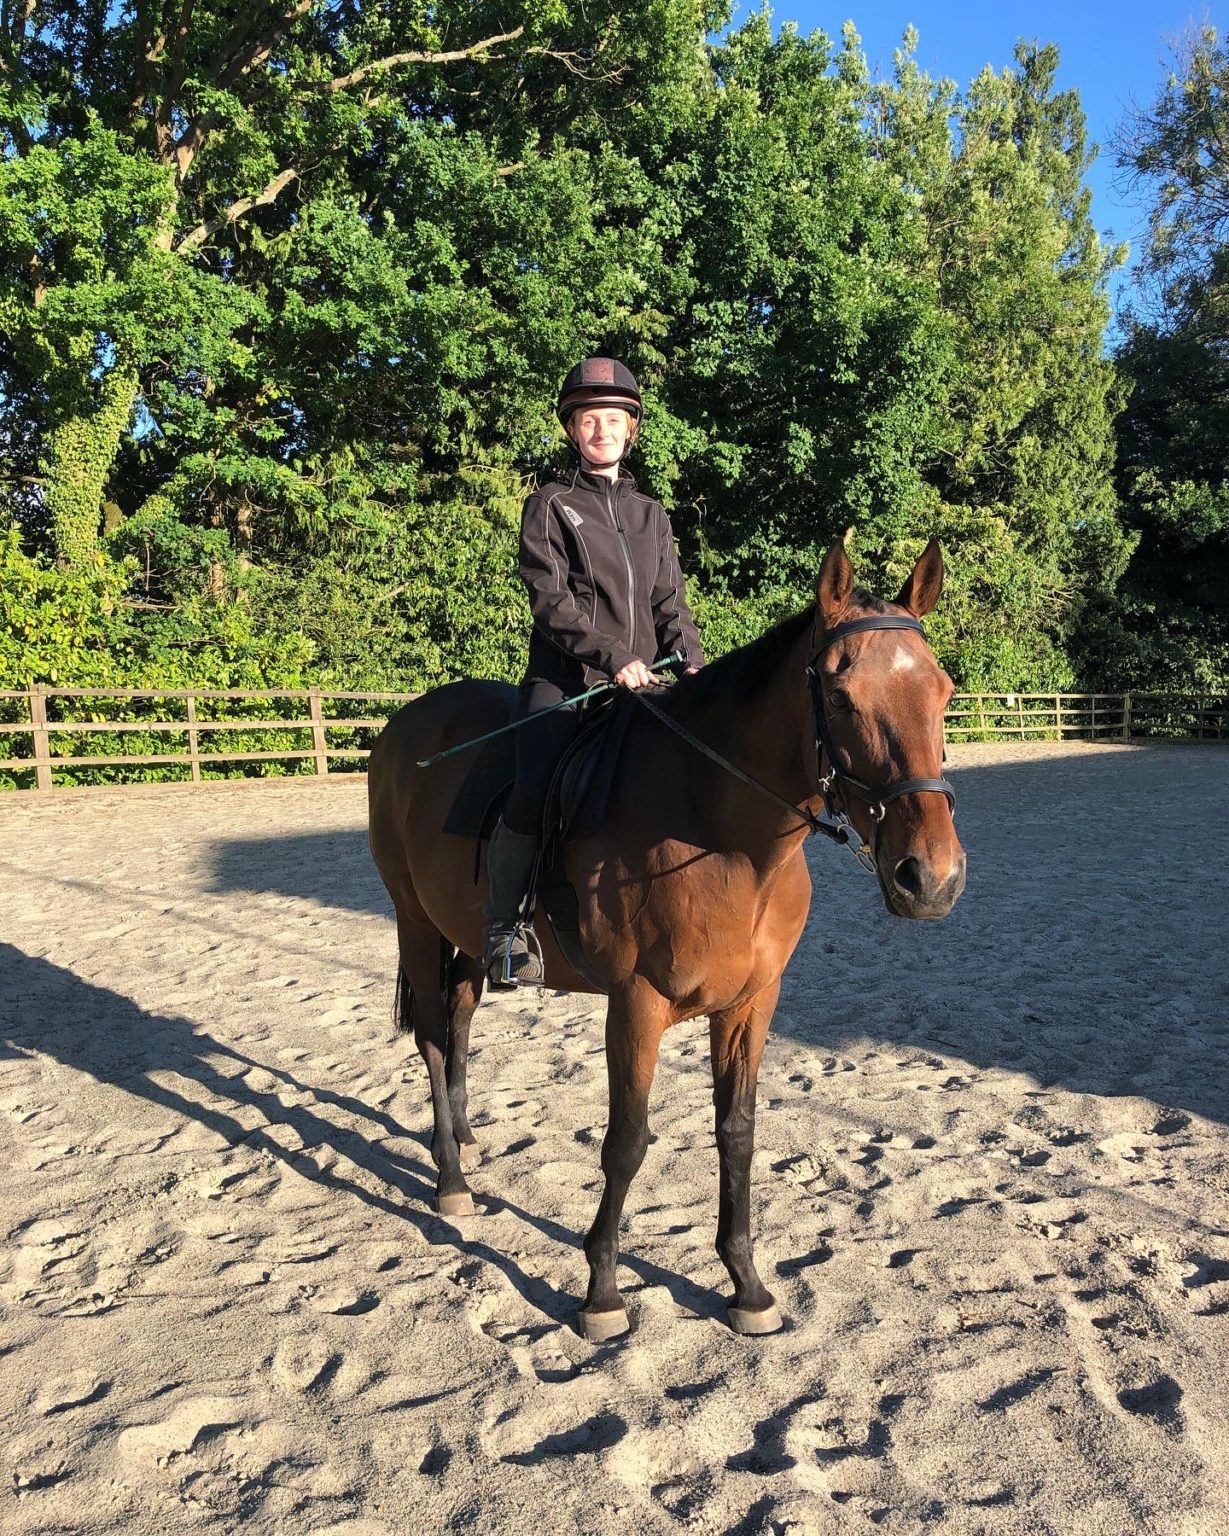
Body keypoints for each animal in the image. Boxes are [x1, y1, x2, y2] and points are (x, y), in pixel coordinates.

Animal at [367, 537, 966, 1341]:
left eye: (944, 693)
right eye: (840, 698)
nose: (929, 878)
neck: (724, 837)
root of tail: (406, 723)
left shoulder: (750, 1003)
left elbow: (737, 1132)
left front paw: (746, 1286)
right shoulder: (636, 1003)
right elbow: (626, 1143)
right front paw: (601, 1292)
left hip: (462, 934)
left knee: (458, 1021)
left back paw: (461, 1140)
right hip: (413, 918)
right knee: (433, 1035)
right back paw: (451, 1181)